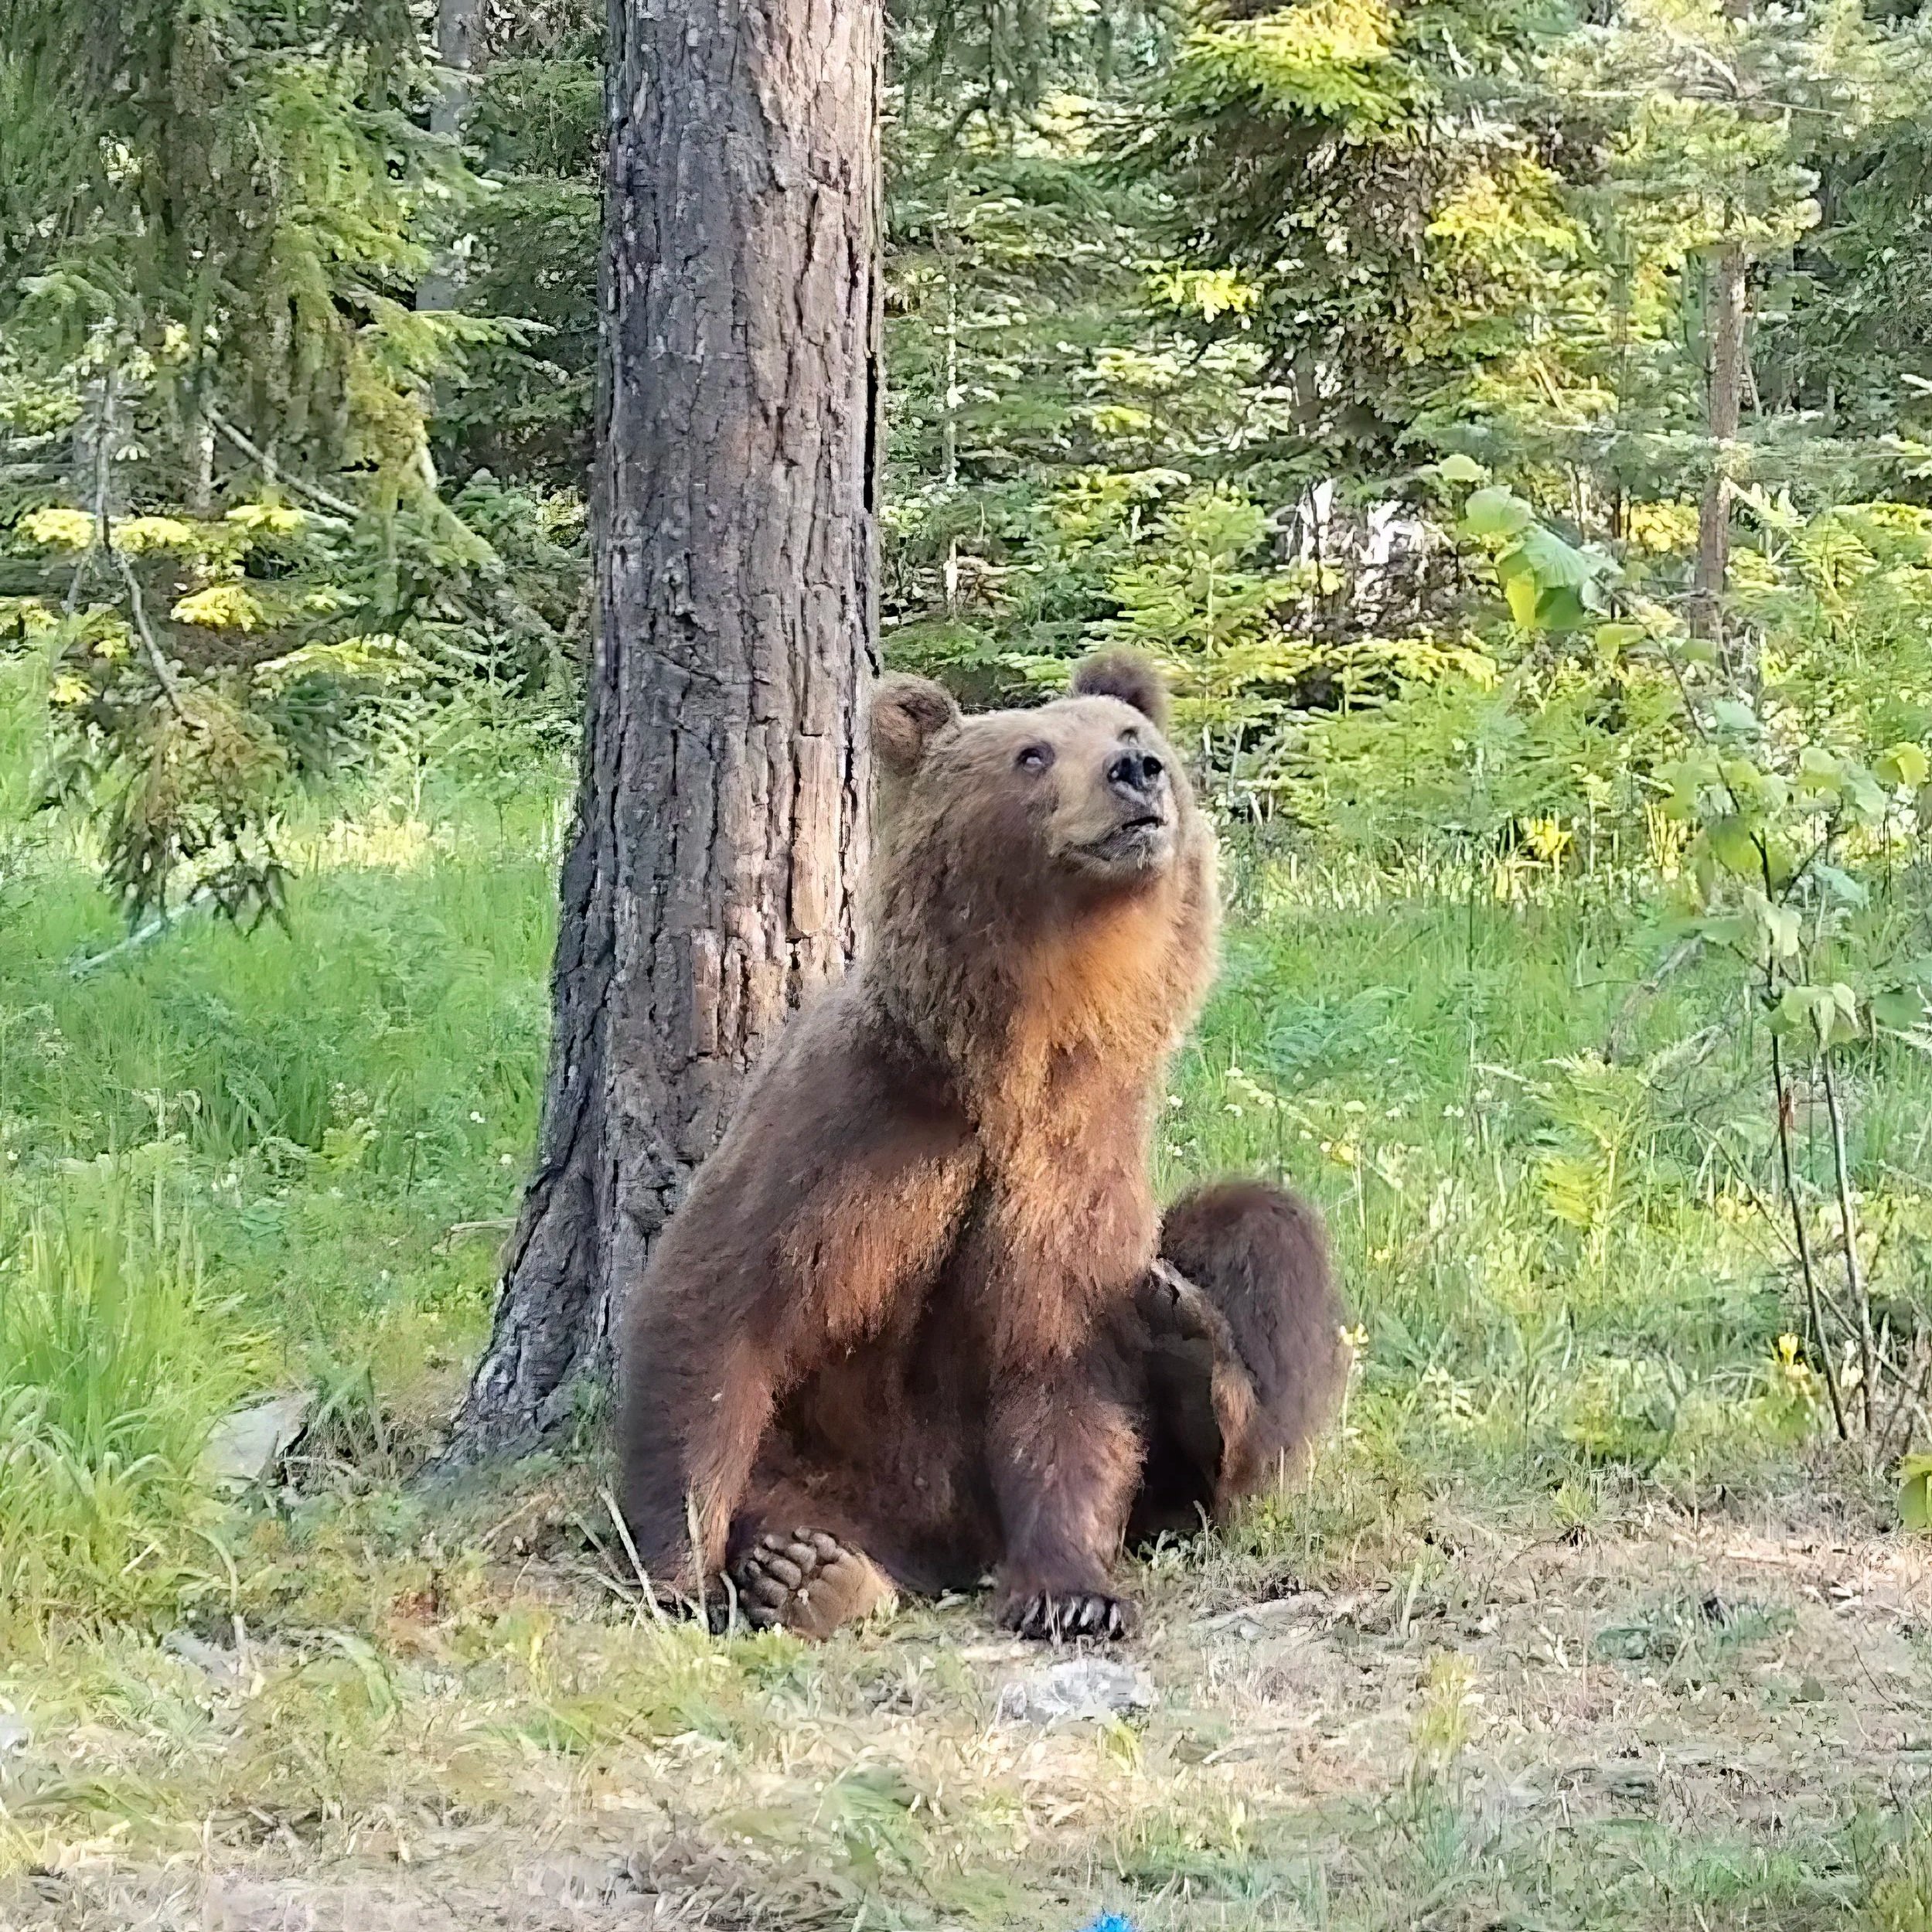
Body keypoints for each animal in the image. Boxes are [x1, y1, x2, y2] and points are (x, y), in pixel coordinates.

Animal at [618, 652, 1347, 1640]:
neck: (1020, 1056)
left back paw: (1198, 1352)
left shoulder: (1075, 1162)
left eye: (1131, 733)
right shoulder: (855, 1127)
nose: (1138, 773)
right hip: (825, 1460)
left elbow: (1058, 1366)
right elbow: (720, 1309)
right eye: (1032, 754)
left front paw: (1072, 1593)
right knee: (792, 1497)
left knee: (1255, 1231)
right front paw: (676, 1574)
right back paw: (808, 1572)